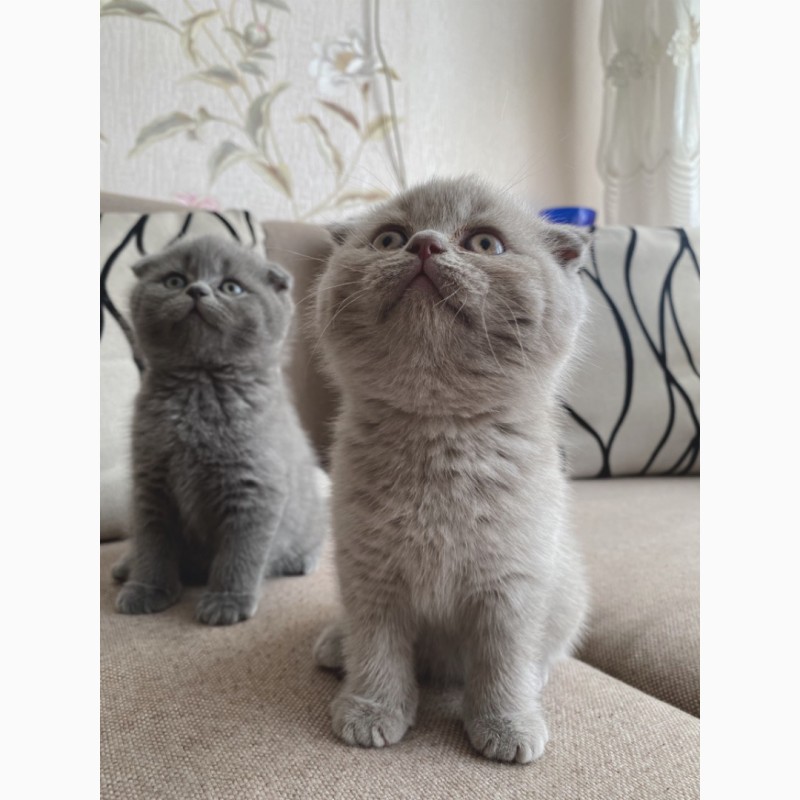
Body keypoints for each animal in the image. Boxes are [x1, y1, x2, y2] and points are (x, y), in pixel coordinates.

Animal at [112, 234, 328, 628]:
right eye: (174, 280)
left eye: (231, 287)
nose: (197, 290)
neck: (200, 385)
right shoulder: (150, 481)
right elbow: (152, 541)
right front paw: (147, 588)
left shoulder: (255, 486)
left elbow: (239, 552)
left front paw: (227, 600)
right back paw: (125, 566)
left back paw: (300, 560)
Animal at [312, 175, 592, 764]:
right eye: (389, 239)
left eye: (485, 244)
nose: (424, 244)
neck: (438, 431)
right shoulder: (368, 571)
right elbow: (377, 647)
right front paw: (371, 710)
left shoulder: (513, 582)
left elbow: (503, 660)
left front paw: (507, 724)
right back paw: (336, 644)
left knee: (544, 653)